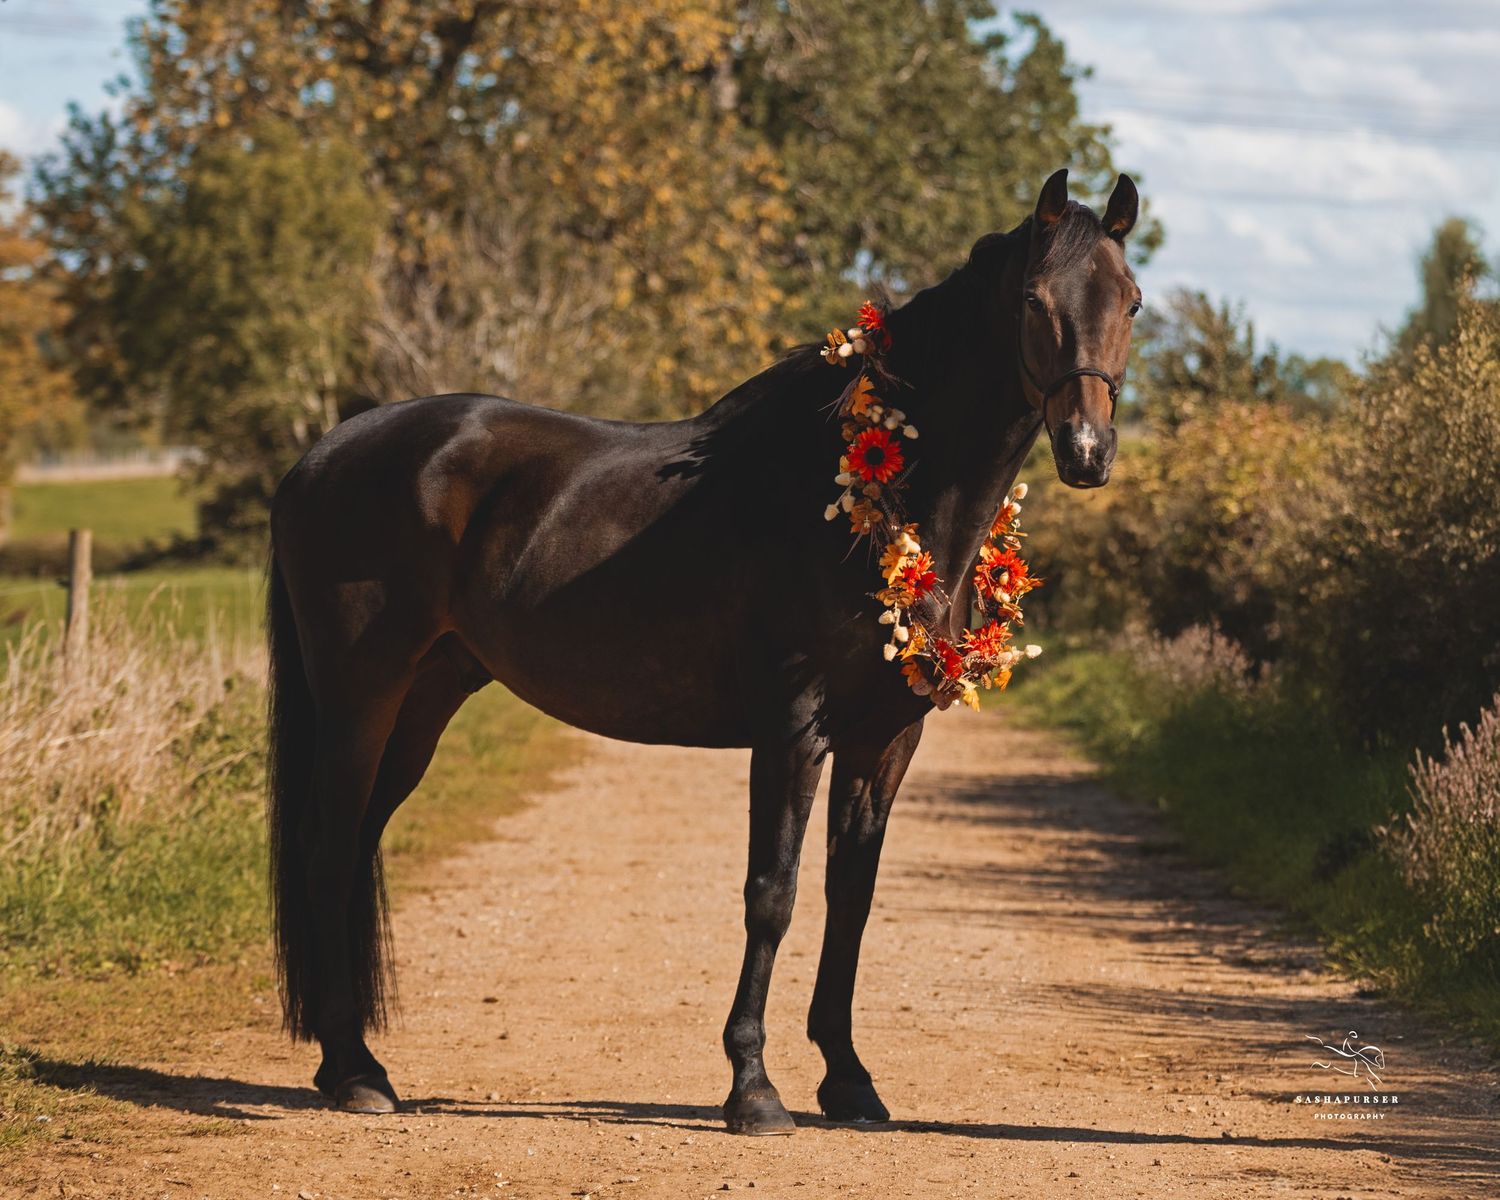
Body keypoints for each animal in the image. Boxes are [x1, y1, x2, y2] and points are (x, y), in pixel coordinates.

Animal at [265, 167, 1142, 1135]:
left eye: (1131, 303)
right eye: (1033, 300)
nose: (1088, 451)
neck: (870, 495)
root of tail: (318, 458)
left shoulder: (884, 740)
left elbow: (851, 898)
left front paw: (848, 1080)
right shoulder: (794, 730)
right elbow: (773, 896)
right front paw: (753, 1088)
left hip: (423, 700)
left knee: (354, 846)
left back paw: (348, 1063)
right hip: (362, 697)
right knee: (328, 849)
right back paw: (354, 1072)